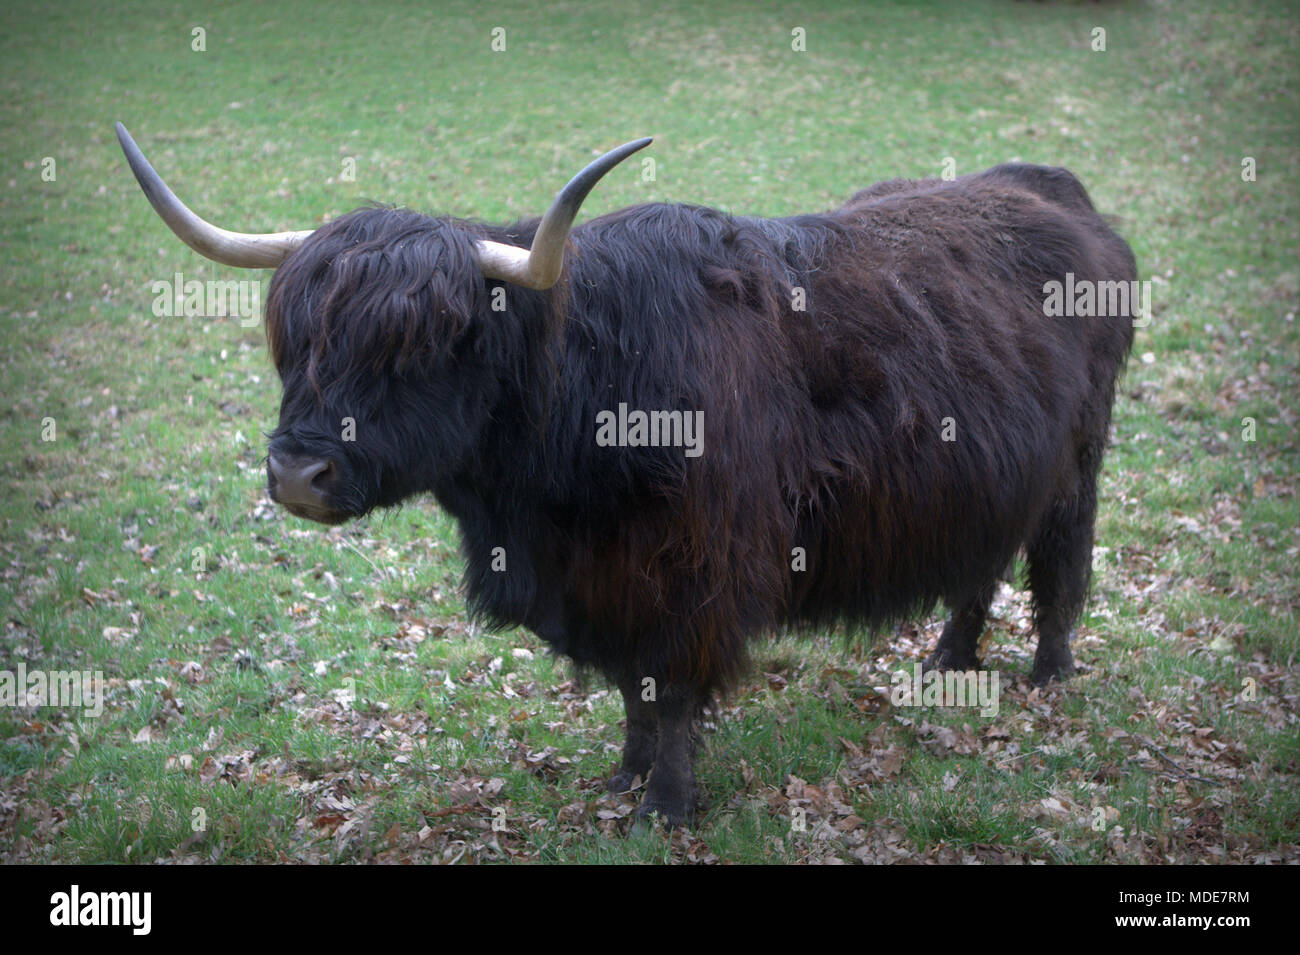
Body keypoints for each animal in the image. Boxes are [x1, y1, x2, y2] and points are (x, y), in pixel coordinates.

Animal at [122, 128, 1138, 831]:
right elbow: (629, 685)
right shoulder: (598, 584)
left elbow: (675, 684)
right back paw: (949, 657)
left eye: (425, 342)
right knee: (984, 558)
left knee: (1060, 556)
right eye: (294, 339)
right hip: (993, 470)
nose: (298, 469)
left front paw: (667, 803)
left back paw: (1049, 672)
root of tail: (1052, 187)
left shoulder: (701, 569)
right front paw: (625, 772)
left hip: (1077, 459)